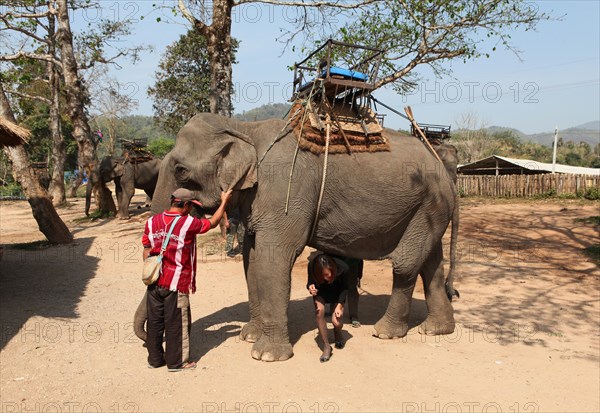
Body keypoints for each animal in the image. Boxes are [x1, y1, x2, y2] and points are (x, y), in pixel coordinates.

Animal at [152, 112, 458, 360]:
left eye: (181, 170)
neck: (244, 128)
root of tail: (445, 172)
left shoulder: (285, 191)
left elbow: (273, 258)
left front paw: (266, 355)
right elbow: (252, 261)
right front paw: (249, 336)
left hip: (428, 205)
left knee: (405, 265)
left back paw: (386, 332)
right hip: (429, 209)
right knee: (431, 265)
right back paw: (436, 329)